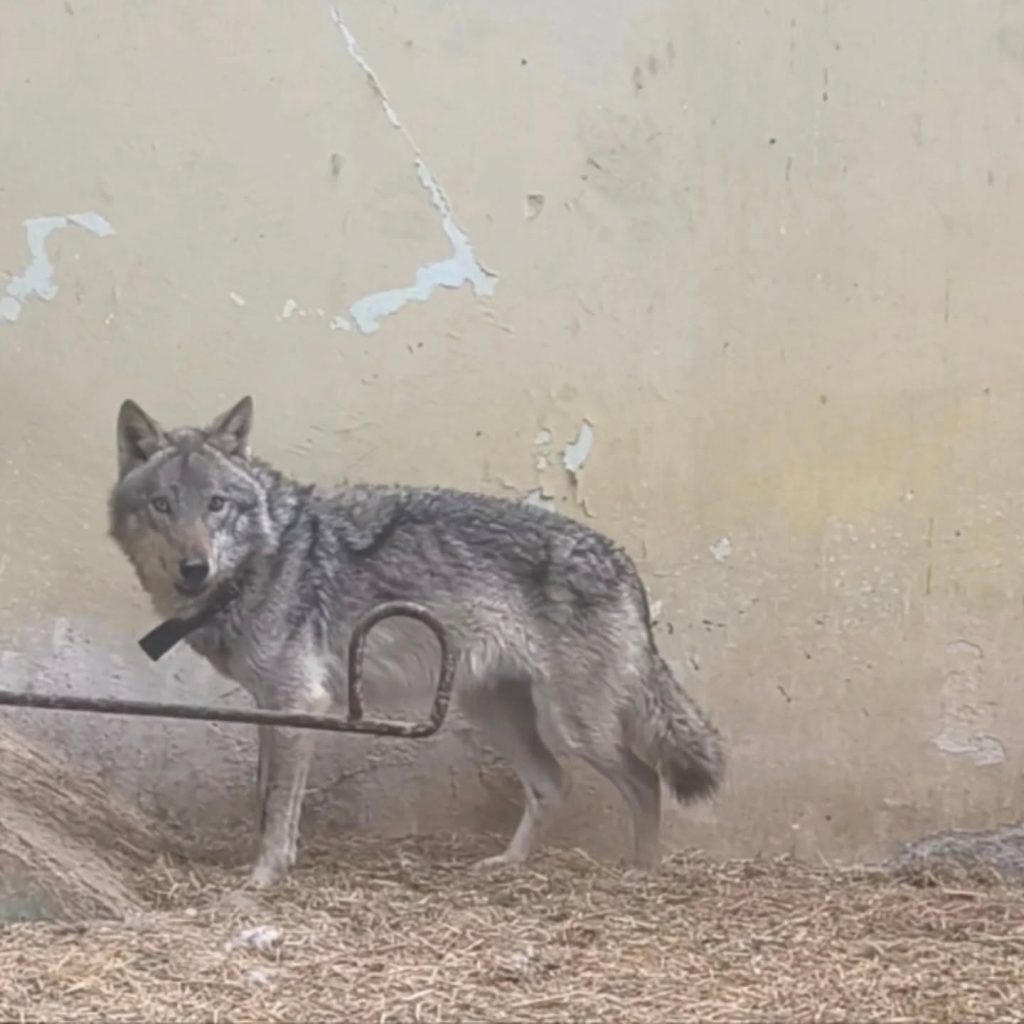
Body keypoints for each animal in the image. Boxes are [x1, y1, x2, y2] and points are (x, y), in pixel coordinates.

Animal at [108, 396, 725, 887]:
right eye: (163, 506)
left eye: (217, 504)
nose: (194, 568)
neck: (264, 561)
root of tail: (622, 562)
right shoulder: (271, 709)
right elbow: (264, 800)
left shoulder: (300, 703)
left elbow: (279, 808)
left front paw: (261, 881)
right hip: (494, 713)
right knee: (552, 784)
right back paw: (508, 864)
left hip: (573, 728)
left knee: (645, 781)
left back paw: (641, 874)